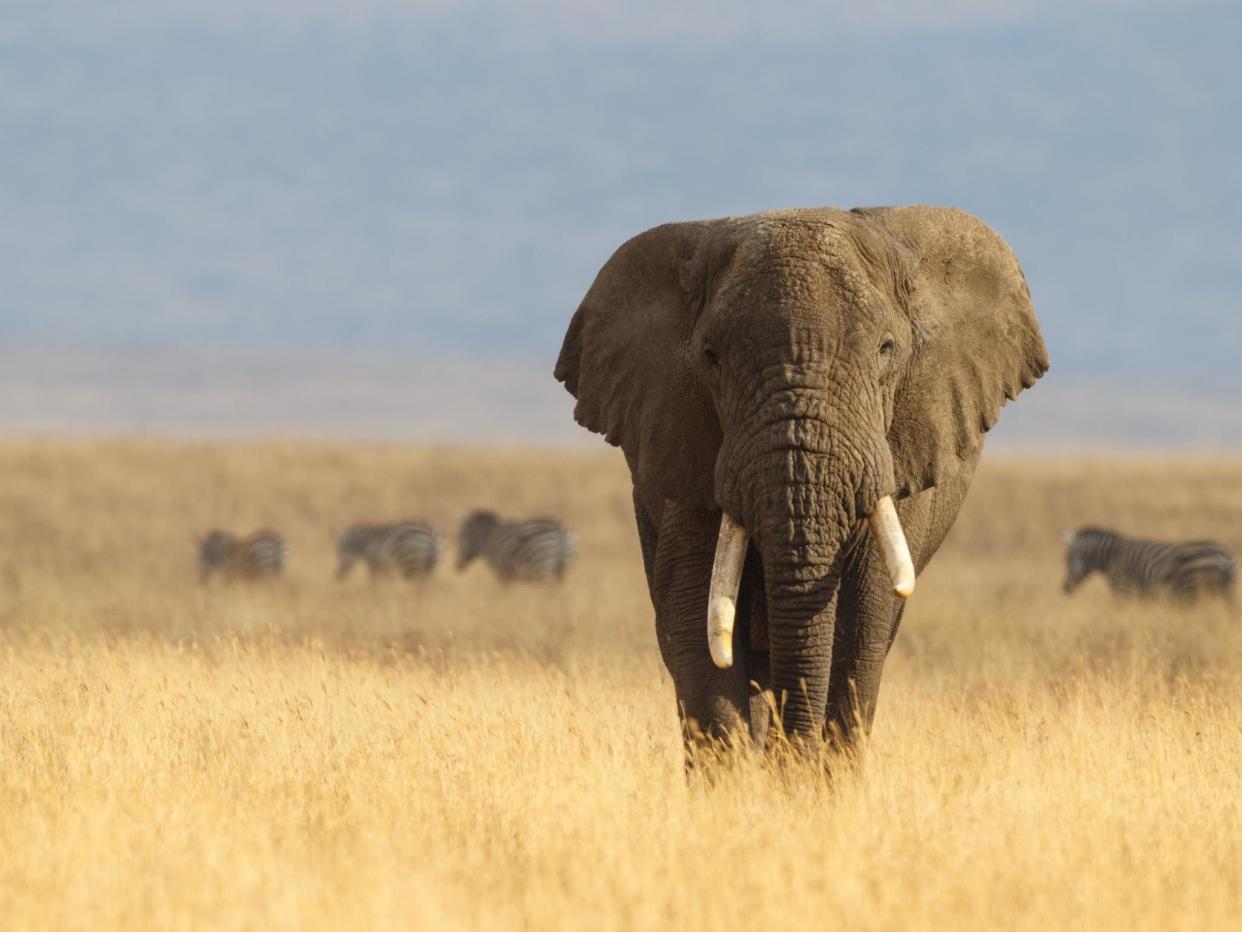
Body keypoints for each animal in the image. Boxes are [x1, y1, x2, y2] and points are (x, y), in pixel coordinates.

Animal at [1063, 526, 1237, 606]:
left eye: (1066, 560)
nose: (1064, 589)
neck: (1111, 556)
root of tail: (1225, 556)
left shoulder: (1122, 589)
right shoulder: (1140, 593)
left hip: (1194, 588)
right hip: (1224, 593)